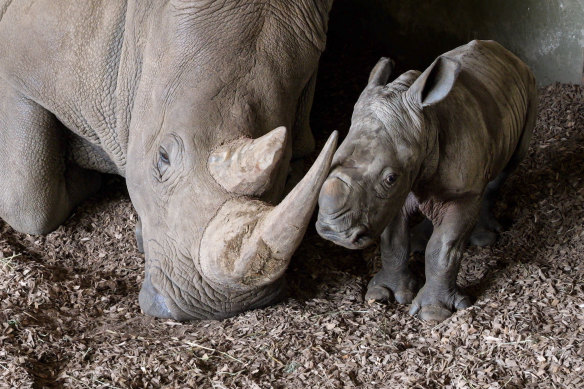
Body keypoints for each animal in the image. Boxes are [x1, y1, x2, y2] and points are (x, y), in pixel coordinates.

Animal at [318, 41, 536, 322]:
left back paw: (483, 238)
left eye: (390, 178)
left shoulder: (458, 194)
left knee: (508, 166)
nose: (332, 233)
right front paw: (383, 293)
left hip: (529, 89)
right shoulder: (393, 196)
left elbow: (443, 247)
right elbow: (393, 240)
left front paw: (433, 313)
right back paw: (419, 242)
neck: (426, 126)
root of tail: (508, 54)